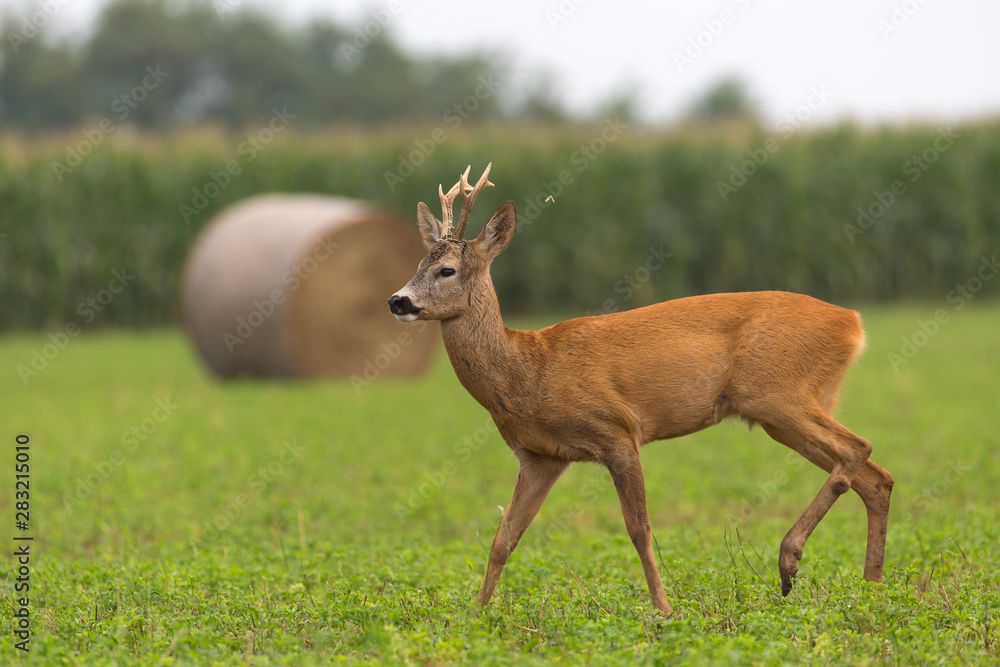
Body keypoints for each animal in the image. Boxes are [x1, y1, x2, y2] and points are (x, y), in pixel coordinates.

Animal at [387, 164, 894, 615]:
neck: (528, 370)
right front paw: (477, 615)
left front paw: (664, 610)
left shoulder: (616, 431)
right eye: (417, 263)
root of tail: (853, 322)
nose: (397, 300)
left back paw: (790, 561)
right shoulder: (539, 457)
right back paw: (870, 589)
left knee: (858, 449)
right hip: (787, 410)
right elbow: (502, 540)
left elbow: (638, 529)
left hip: (778, 394)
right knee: (876, 477)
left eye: (447, 270)